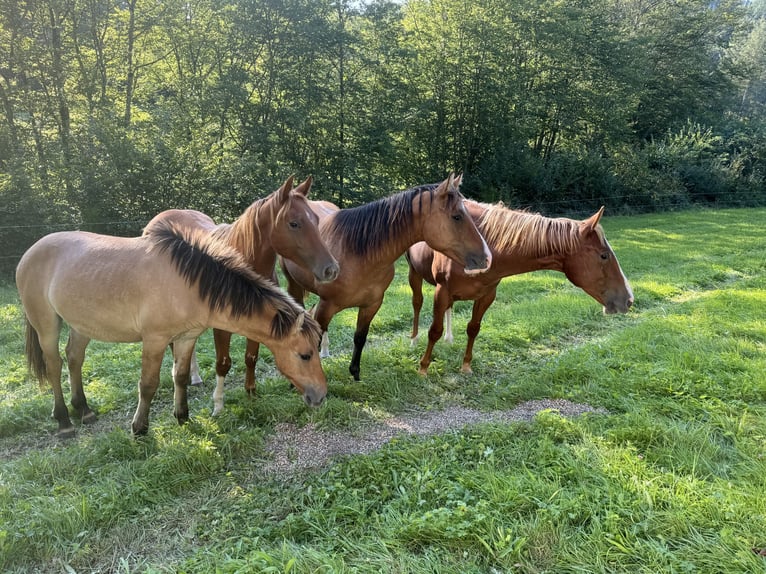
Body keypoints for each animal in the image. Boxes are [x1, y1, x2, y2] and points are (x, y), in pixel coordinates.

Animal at [15, 222, 328, 440]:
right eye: (305, 355)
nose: (321, 396)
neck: (188, 282)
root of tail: (30, 251)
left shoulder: (187, 338)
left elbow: (180, 376)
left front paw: (183, 417)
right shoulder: (154, 340)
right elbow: (148, 384)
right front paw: (140, 428)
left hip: (81, 325)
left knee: (74, 359)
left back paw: (84, 410)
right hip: (47, 325)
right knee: (54, 366)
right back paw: (64, 422)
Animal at [142, 178, 340, 416]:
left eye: (317, 219)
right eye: (294, 223)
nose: (331, 269)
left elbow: (251, 357)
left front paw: (251, 392)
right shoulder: (222, 327)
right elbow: (223, 363)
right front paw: (218, 405)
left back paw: (195, 376)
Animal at [282, 173, 492, 384]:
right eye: (457, 216)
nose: (487, 257)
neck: (359, 254)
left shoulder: (371, 305)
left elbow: (360, 337)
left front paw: (355, 372)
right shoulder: (328, 305)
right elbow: (313, 341)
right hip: (294, 285)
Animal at [408, 200, 636, 376]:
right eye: (604, 255)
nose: (629, 300)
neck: (486, 244)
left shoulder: (486, 295)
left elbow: (473, 329)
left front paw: (465, 366)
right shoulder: (442, 291)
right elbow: (434, 331)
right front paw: (423, 369)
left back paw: (449, 339)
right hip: (414, 274)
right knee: (417, 304)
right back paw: (414, 339)